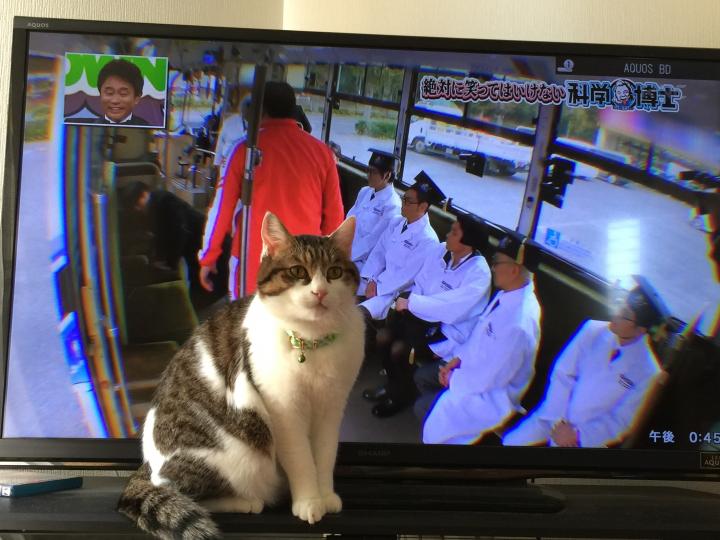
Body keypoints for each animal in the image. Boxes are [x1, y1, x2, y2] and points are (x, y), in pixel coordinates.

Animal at [117, 211, 365, 539]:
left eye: (334, 272)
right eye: (298, 271)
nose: (320, 292)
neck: (310, 341)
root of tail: (145, 464)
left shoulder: (332, 407)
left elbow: (325, 456)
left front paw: (325, 496)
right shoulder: (285, 412)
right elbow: (301, 459)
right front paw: (309, 501)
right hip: (235, 455)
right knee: (178, 490)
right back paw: (247, 501)